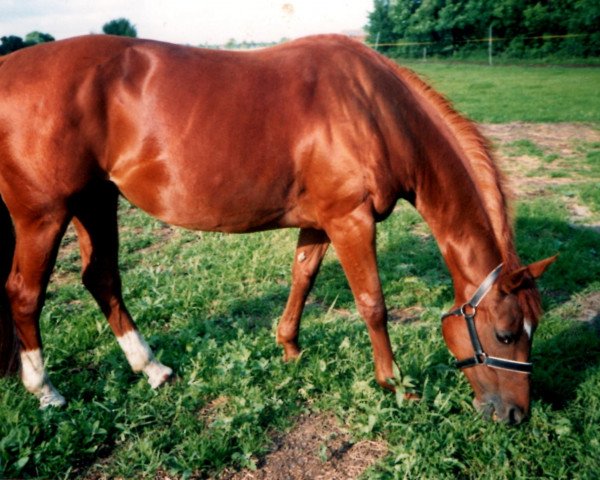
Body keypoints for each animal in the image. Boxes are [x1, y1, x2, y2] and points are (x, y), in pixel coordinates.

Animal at [0, 33, 552, 424]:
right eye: (505, 334)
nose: (515, 415)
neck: (374, 109)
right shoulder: (351, 220)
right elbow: (372, 303)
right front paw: (394, 384)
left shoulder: (322, 221)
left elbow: (302, 278)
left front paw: (289, 348)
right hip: (44, 215)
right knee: (25, 294)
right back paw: (46, 391)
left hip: (95, 201)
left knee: (102, 279)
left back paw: (152, 369)